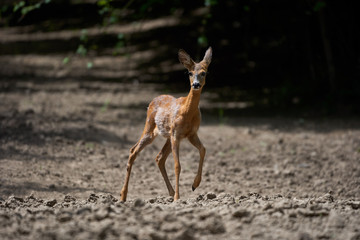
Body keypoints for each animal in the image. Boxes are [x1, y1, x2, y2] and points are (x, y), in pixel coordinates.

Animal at [119, 46, 212, 201]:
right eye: (190, 72)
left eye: (203, 73)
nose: (196, 84)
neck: (187, 112)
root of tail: (153, 100)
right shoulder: (176, 134)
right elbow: (177, 165)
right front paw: (178, 198)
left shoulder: (191, 134)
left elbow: (203, 149)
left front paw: (194, 185)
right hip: (150, 128)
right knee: (133, 151)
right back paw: (123, 196)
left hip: (167, 135)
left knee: (159, 158)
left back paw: (171, 192)